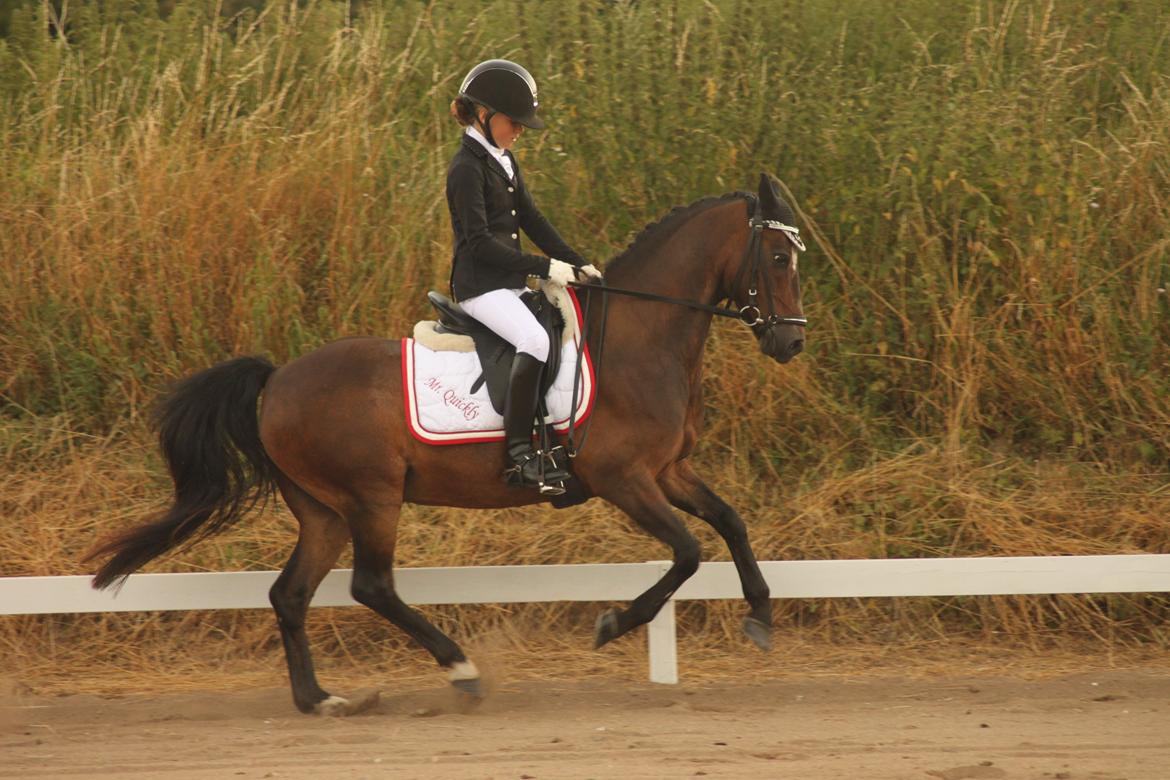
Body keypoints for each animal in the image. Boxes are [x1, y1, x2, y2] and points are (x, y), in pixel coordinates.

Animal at [86, 173, 807, 715]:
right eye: (778, 258)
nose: (791, 342)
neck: (642, 336)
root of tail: (277, 379)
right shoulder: (623, 478)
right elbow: (687, 552)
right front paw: (612, 625)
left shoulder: (668, 470)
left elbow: (731, 522)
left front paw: (761, 616)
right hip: (371, 498)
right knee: (371, 586)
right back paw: (460, 670)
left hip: (323, 510)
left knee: (290, 594)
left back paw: (320, 699)